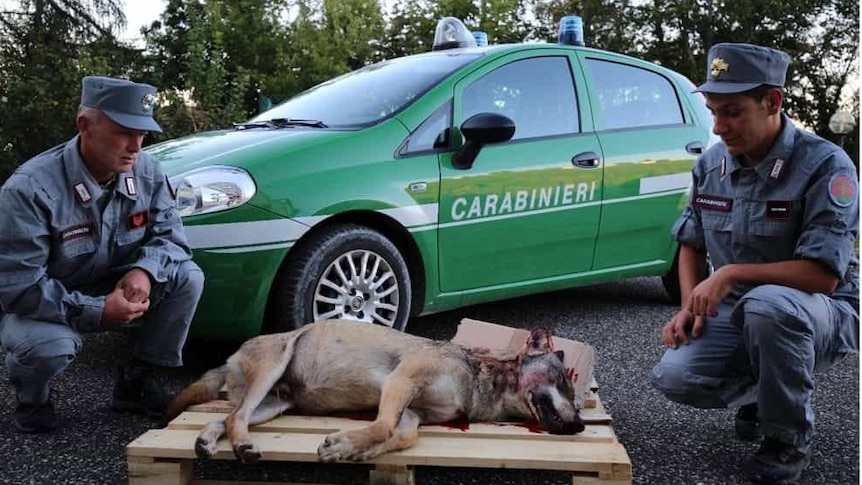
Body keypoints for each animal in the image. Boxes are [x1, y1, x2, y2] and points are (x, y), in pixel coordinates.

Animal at [167, 320, 588, 464]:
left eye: (573, 391)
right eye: (563, 383)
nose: (583, 426)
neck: (477, 377)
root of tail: (230, 358)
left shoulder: (413, 414)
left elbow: (401, 438)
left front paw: (352, 450)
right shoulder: (400, 381)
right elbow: (384, 427)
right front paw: (344, 444)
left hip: (276, 404)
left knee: (225, 417)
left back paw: (208, 441)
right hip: (271, 372)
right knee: (235, 416)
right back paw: (242, 446)